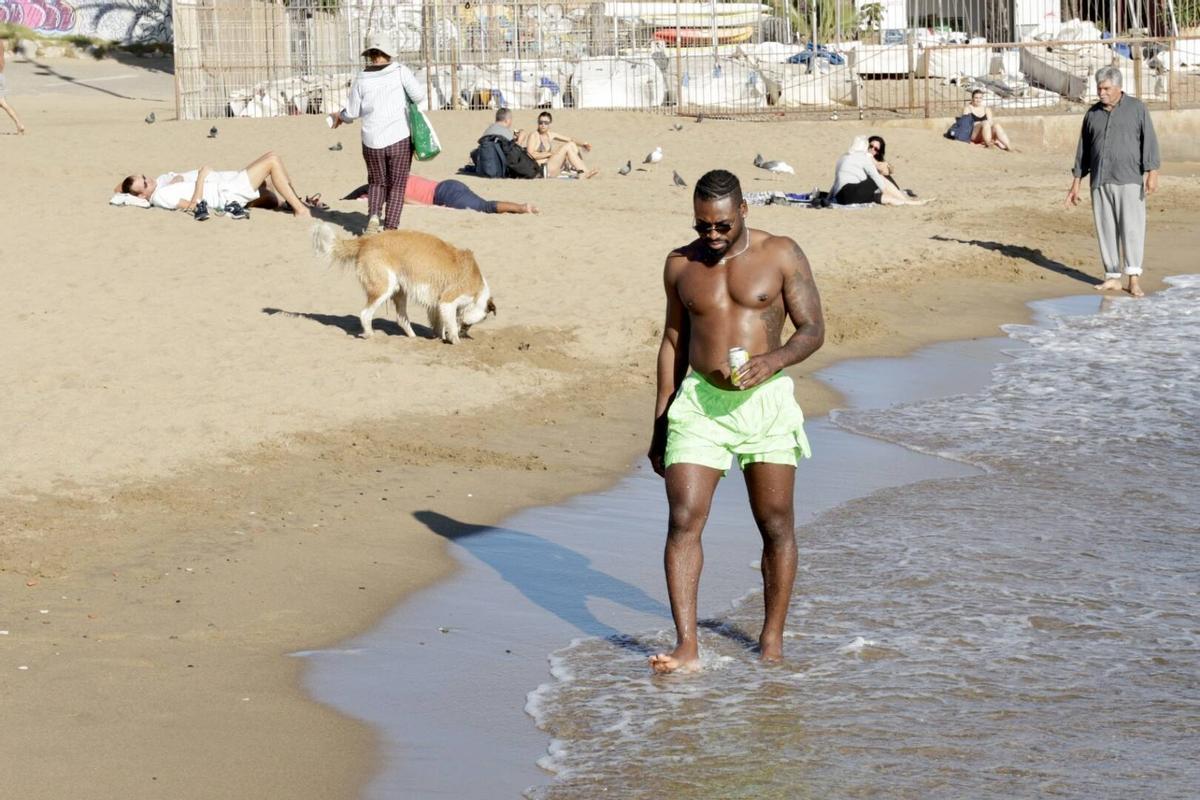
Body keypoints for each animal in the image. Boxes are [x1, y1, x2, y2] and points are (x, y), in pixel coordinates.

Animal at [314, 221, 496, 345]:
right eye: (467, 326)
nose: (465, 334)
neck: (477, 288)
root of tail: (366, 240)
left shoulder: (437, 305)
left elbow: (439, 324)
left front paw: (439, 337)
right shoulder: (447, 302)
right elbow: (450, 325)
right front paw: (456, 341)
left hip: (399, 290)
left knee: (401, 318)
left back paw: (413, 338)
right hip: (384, 288)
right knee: (365, 314)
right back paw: (370, 334)